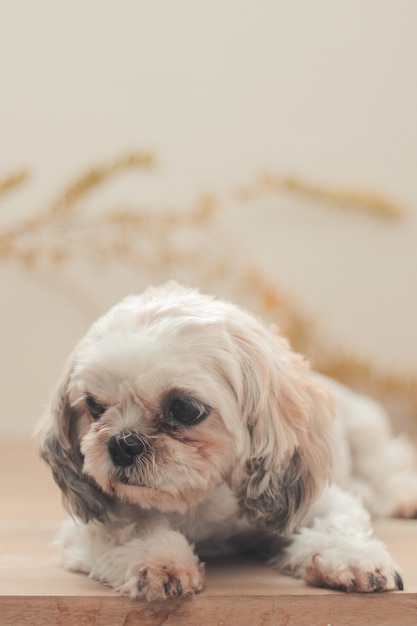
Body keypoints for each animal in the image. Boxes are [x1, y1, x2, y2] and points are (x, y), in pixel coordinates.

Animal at [36, 280, 416, 596]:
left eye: (185, 409)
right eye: (93, 405)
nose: (122, 443)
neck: (200, 500)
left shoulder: (314, 501)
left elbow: (339, 524)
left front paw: (355, 558)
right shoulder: (92, 527)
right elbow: (131, 528)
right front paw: (160, 562)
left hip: (366, 434)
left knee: (387, 469)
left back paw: (399, 496)